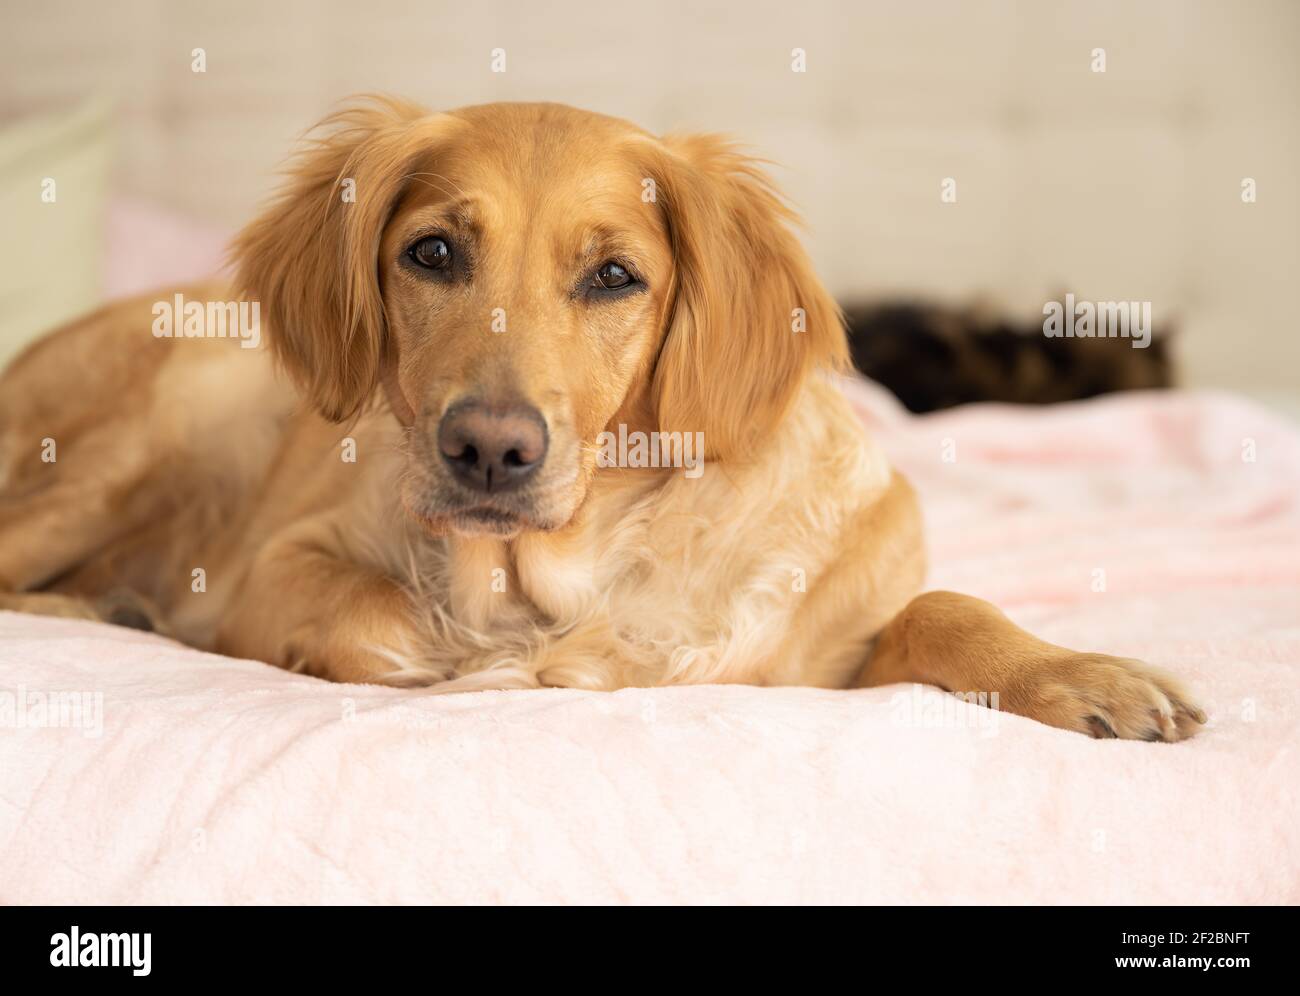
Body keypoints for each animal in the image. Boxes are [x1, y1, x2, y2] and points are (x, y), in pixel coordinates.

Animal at [0, 99, 1206, 738]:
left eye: (615, 277)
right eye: (431, 252)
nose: (489, 450)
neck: (580, 563)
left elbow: (942, 607)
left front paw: (1084, 673)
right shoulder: (281, 565)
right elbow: (386, 617)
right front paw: (505, 662)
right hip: (167, 416)